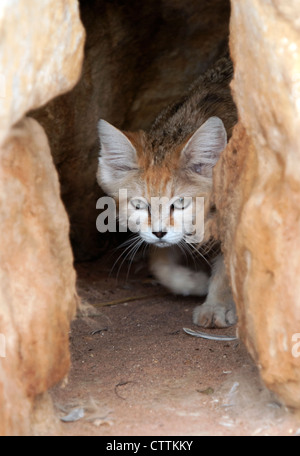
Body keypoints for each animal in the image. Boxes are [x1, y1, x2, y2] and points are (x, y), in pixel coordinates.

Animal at [97, 57, 238, 328]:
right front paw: (193, 282)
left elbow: (229, 264)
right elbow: (158, 261)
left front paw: (217, 304)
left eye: (181, 203)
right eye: (139, 205)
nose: (159, 232)